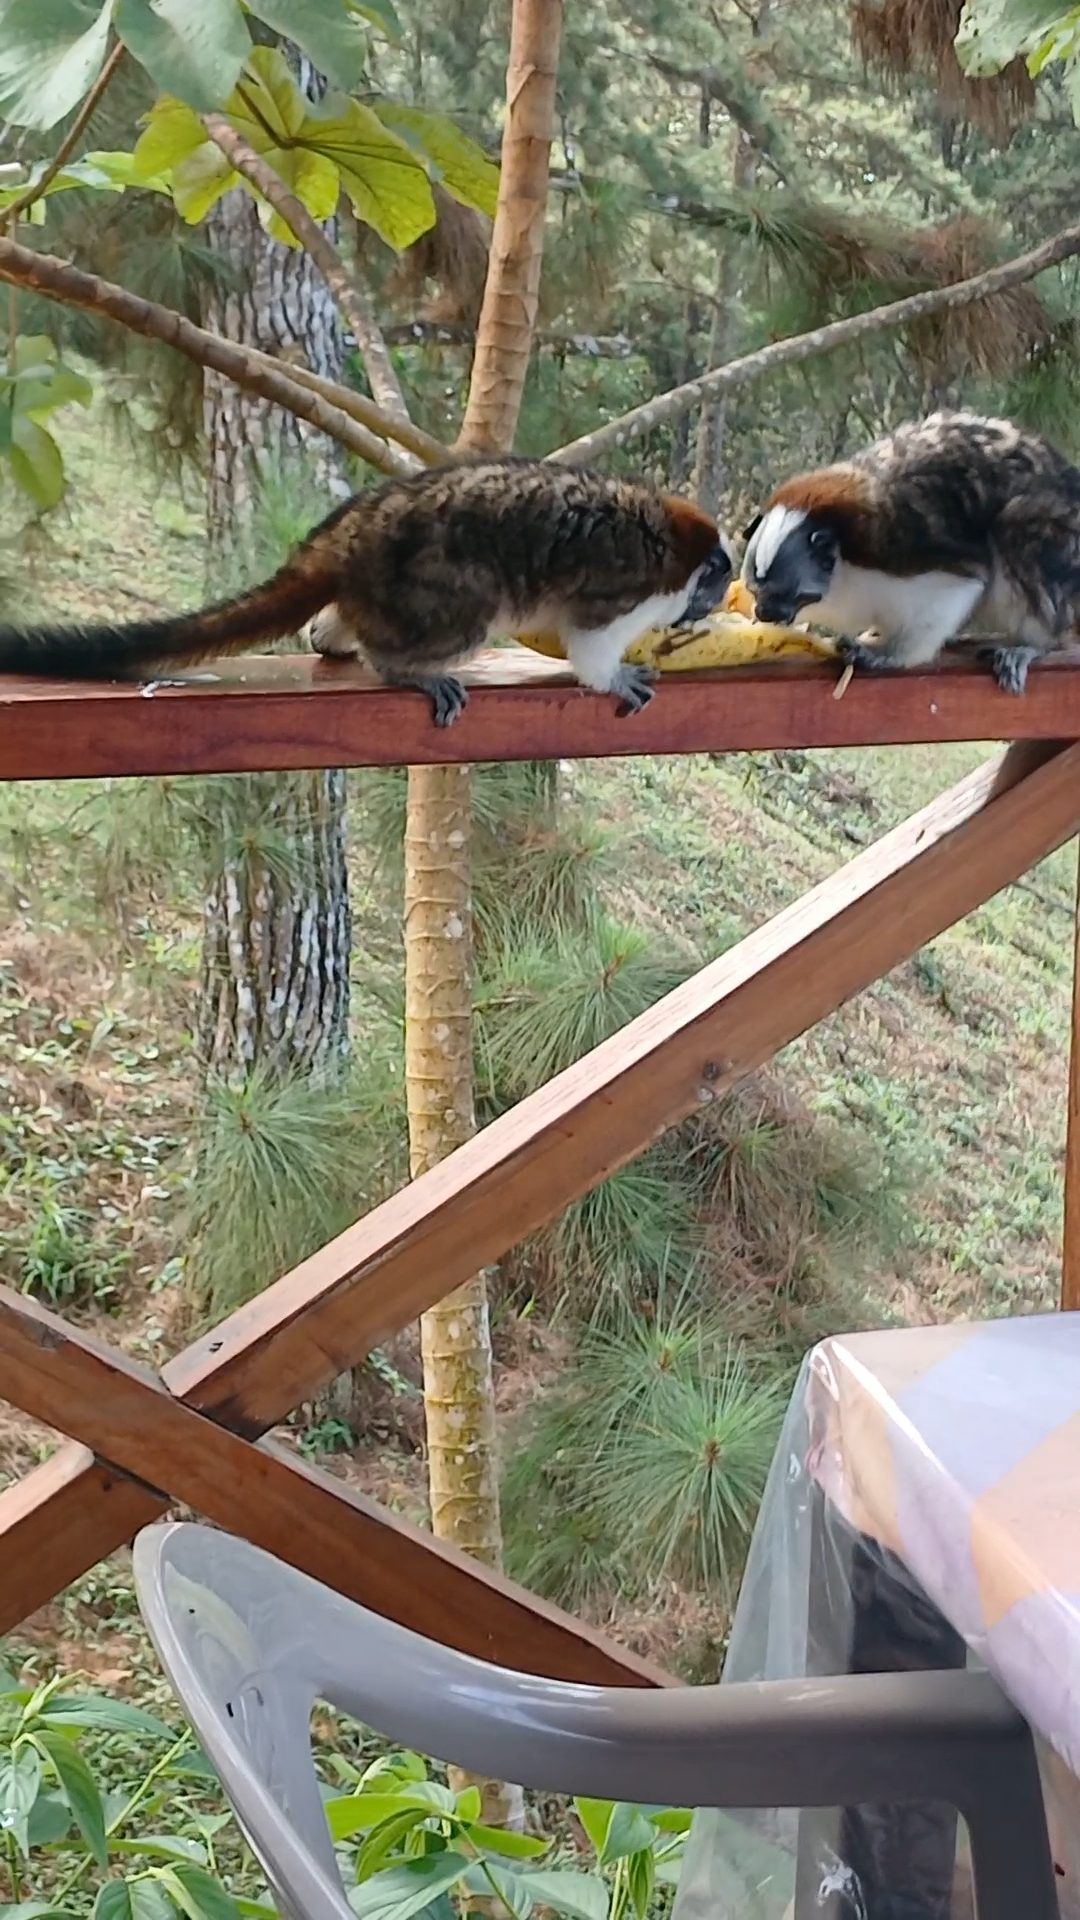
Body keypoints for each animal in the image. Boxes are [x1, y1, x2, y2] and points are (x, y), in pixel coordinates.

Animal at [0, 458, 733, 728]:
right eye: (712, 587)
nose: (711, 605)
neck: (675, 541)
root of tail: (350, 533)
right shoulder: (630, 588)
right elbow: (588, 637)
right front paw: (613, 677)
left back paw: (332, 638)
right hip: (425, 580)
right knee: (467, 613)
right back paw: (401, 667)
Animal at [740, 410, 1080, 694]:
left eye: (783, 594)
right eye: (756, 592)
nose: (763, 612)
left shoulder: (899, 545)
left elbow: (954, 592)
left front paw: (887, 654)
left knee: (1015, 521)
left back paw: (1043, 645)